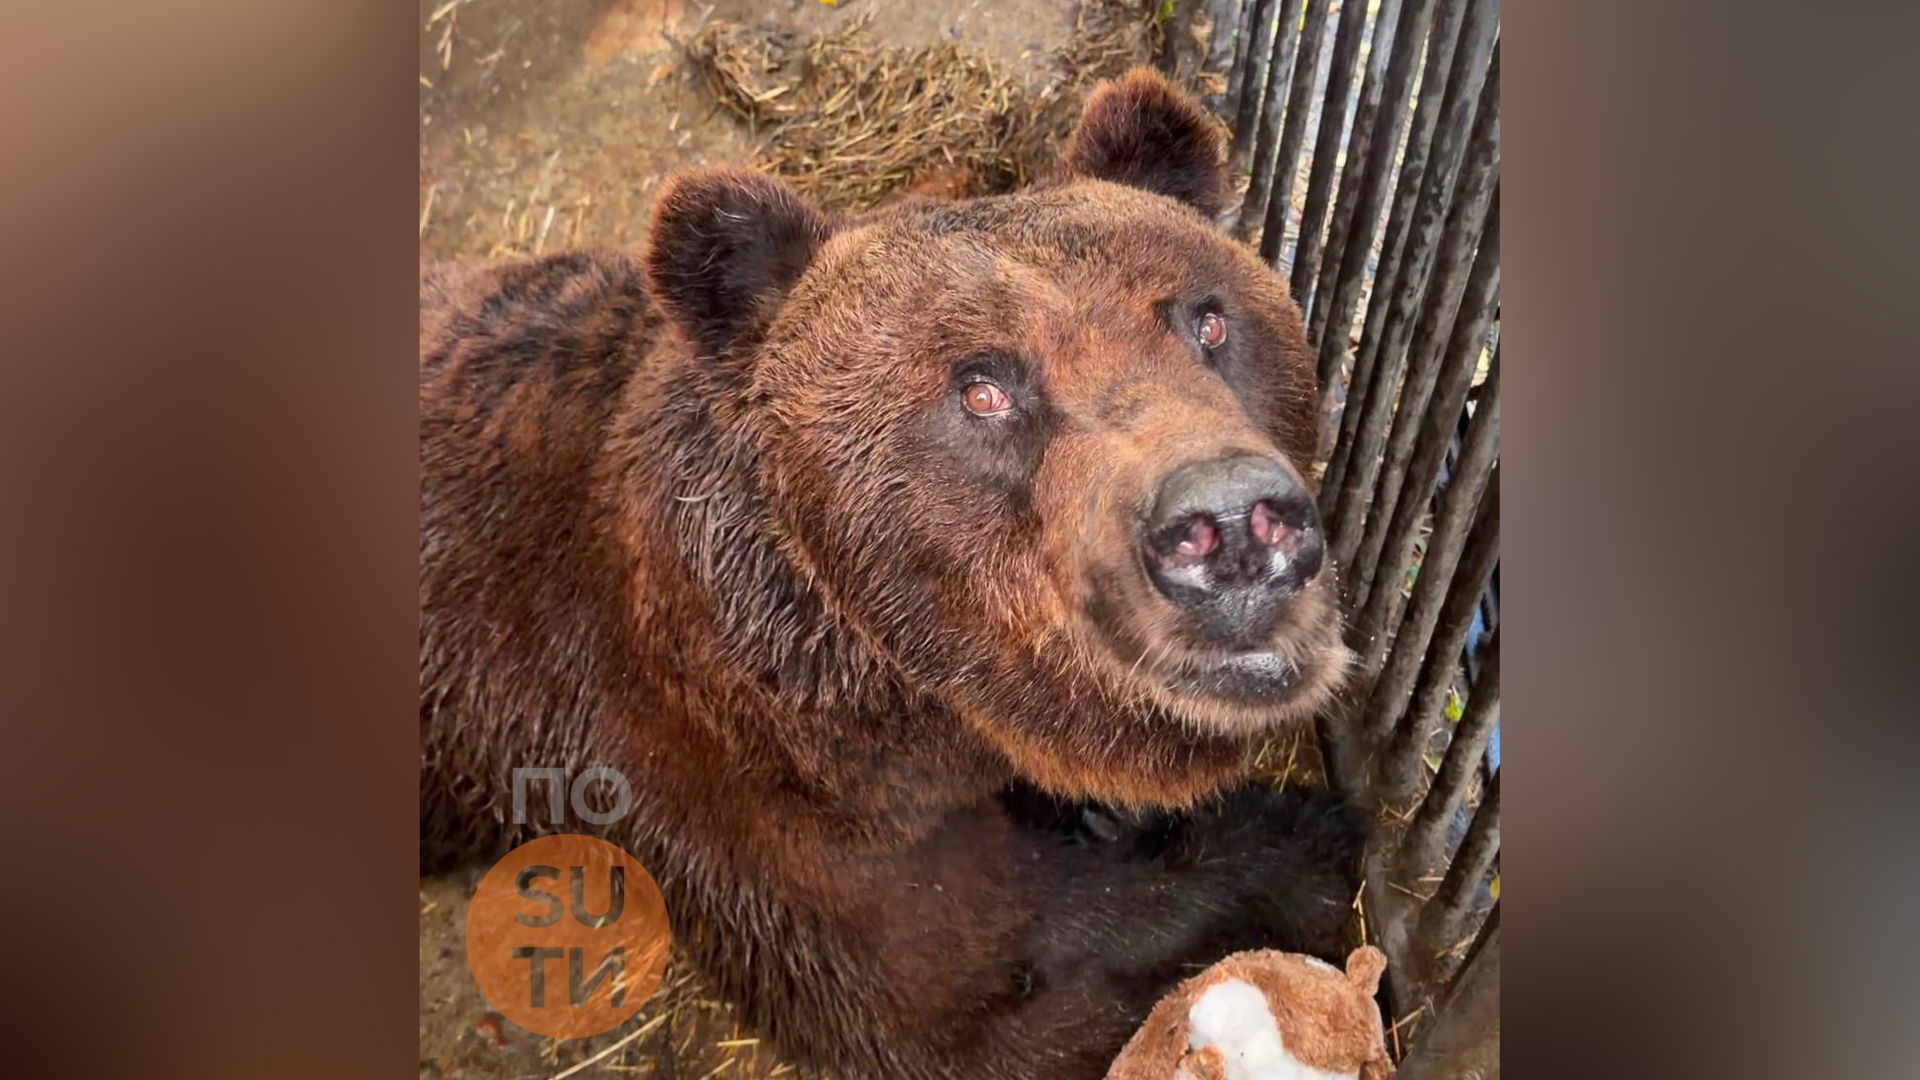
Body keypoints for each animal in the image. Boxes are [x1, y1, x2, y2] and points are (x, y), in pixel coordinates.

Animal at [420, 69, 1365, 1080]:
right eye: (982, 387)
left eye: (1207, 319)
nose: (1230, 522)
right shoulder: (730, 785)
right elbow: (951, 1003)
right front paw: (1295, 845)